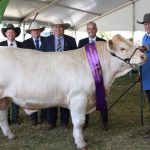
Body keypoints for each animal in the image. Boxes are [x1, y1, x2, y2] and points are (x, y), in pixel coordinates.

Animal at [0, 34, 146, 149]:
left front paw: (77, 139)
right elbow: (79, 122)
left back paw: (10, 135)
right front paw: (81, 143)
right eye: (122, 48)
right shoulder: (78, 97)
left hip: (4, 99)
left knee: (3, 118)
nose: (143, 56)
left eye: (131, 44)